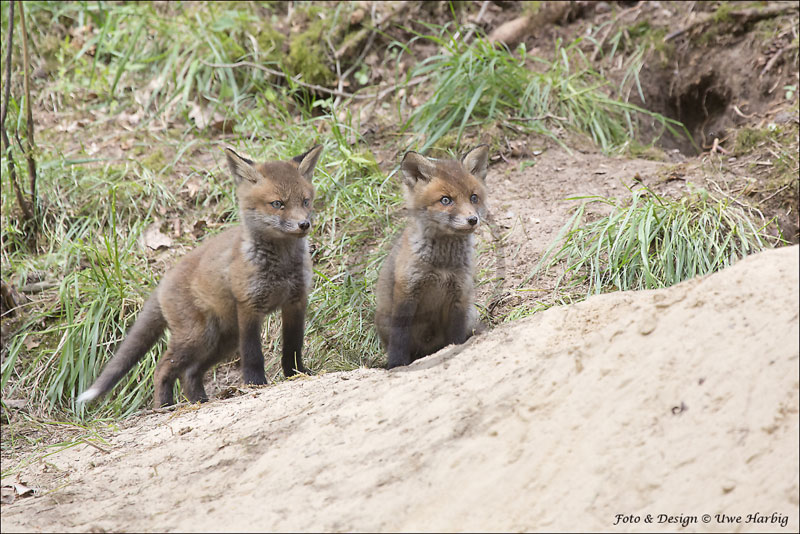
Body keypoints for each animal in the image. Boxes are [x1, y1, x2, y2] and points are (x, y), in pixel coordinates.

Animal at [77, 144, 323, 407]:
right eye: (277, 203)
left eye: (305, 201)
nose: (304, 224)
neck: (281, 266)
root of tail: (163, 280)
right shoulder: (249, 306)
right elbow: (253, 353)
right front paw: (255, 383)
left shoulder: (296, 302)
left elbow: (293, 346)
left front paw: (296, 373)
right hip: (198, 337)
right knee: (163, 368)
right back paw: (165, 406)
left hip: (221, 341)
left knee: (190, 372)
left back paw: (199, 401)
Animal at [375, 144, 489, 369]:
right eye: (446, 200)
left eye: (473, 197)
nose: (473, 219)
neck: (442, 264)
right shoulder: (407, 293)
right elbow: (399, 340)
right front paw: (396, 365)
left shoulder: (459, 295)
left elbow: (456, 337)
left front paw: (455, 349)